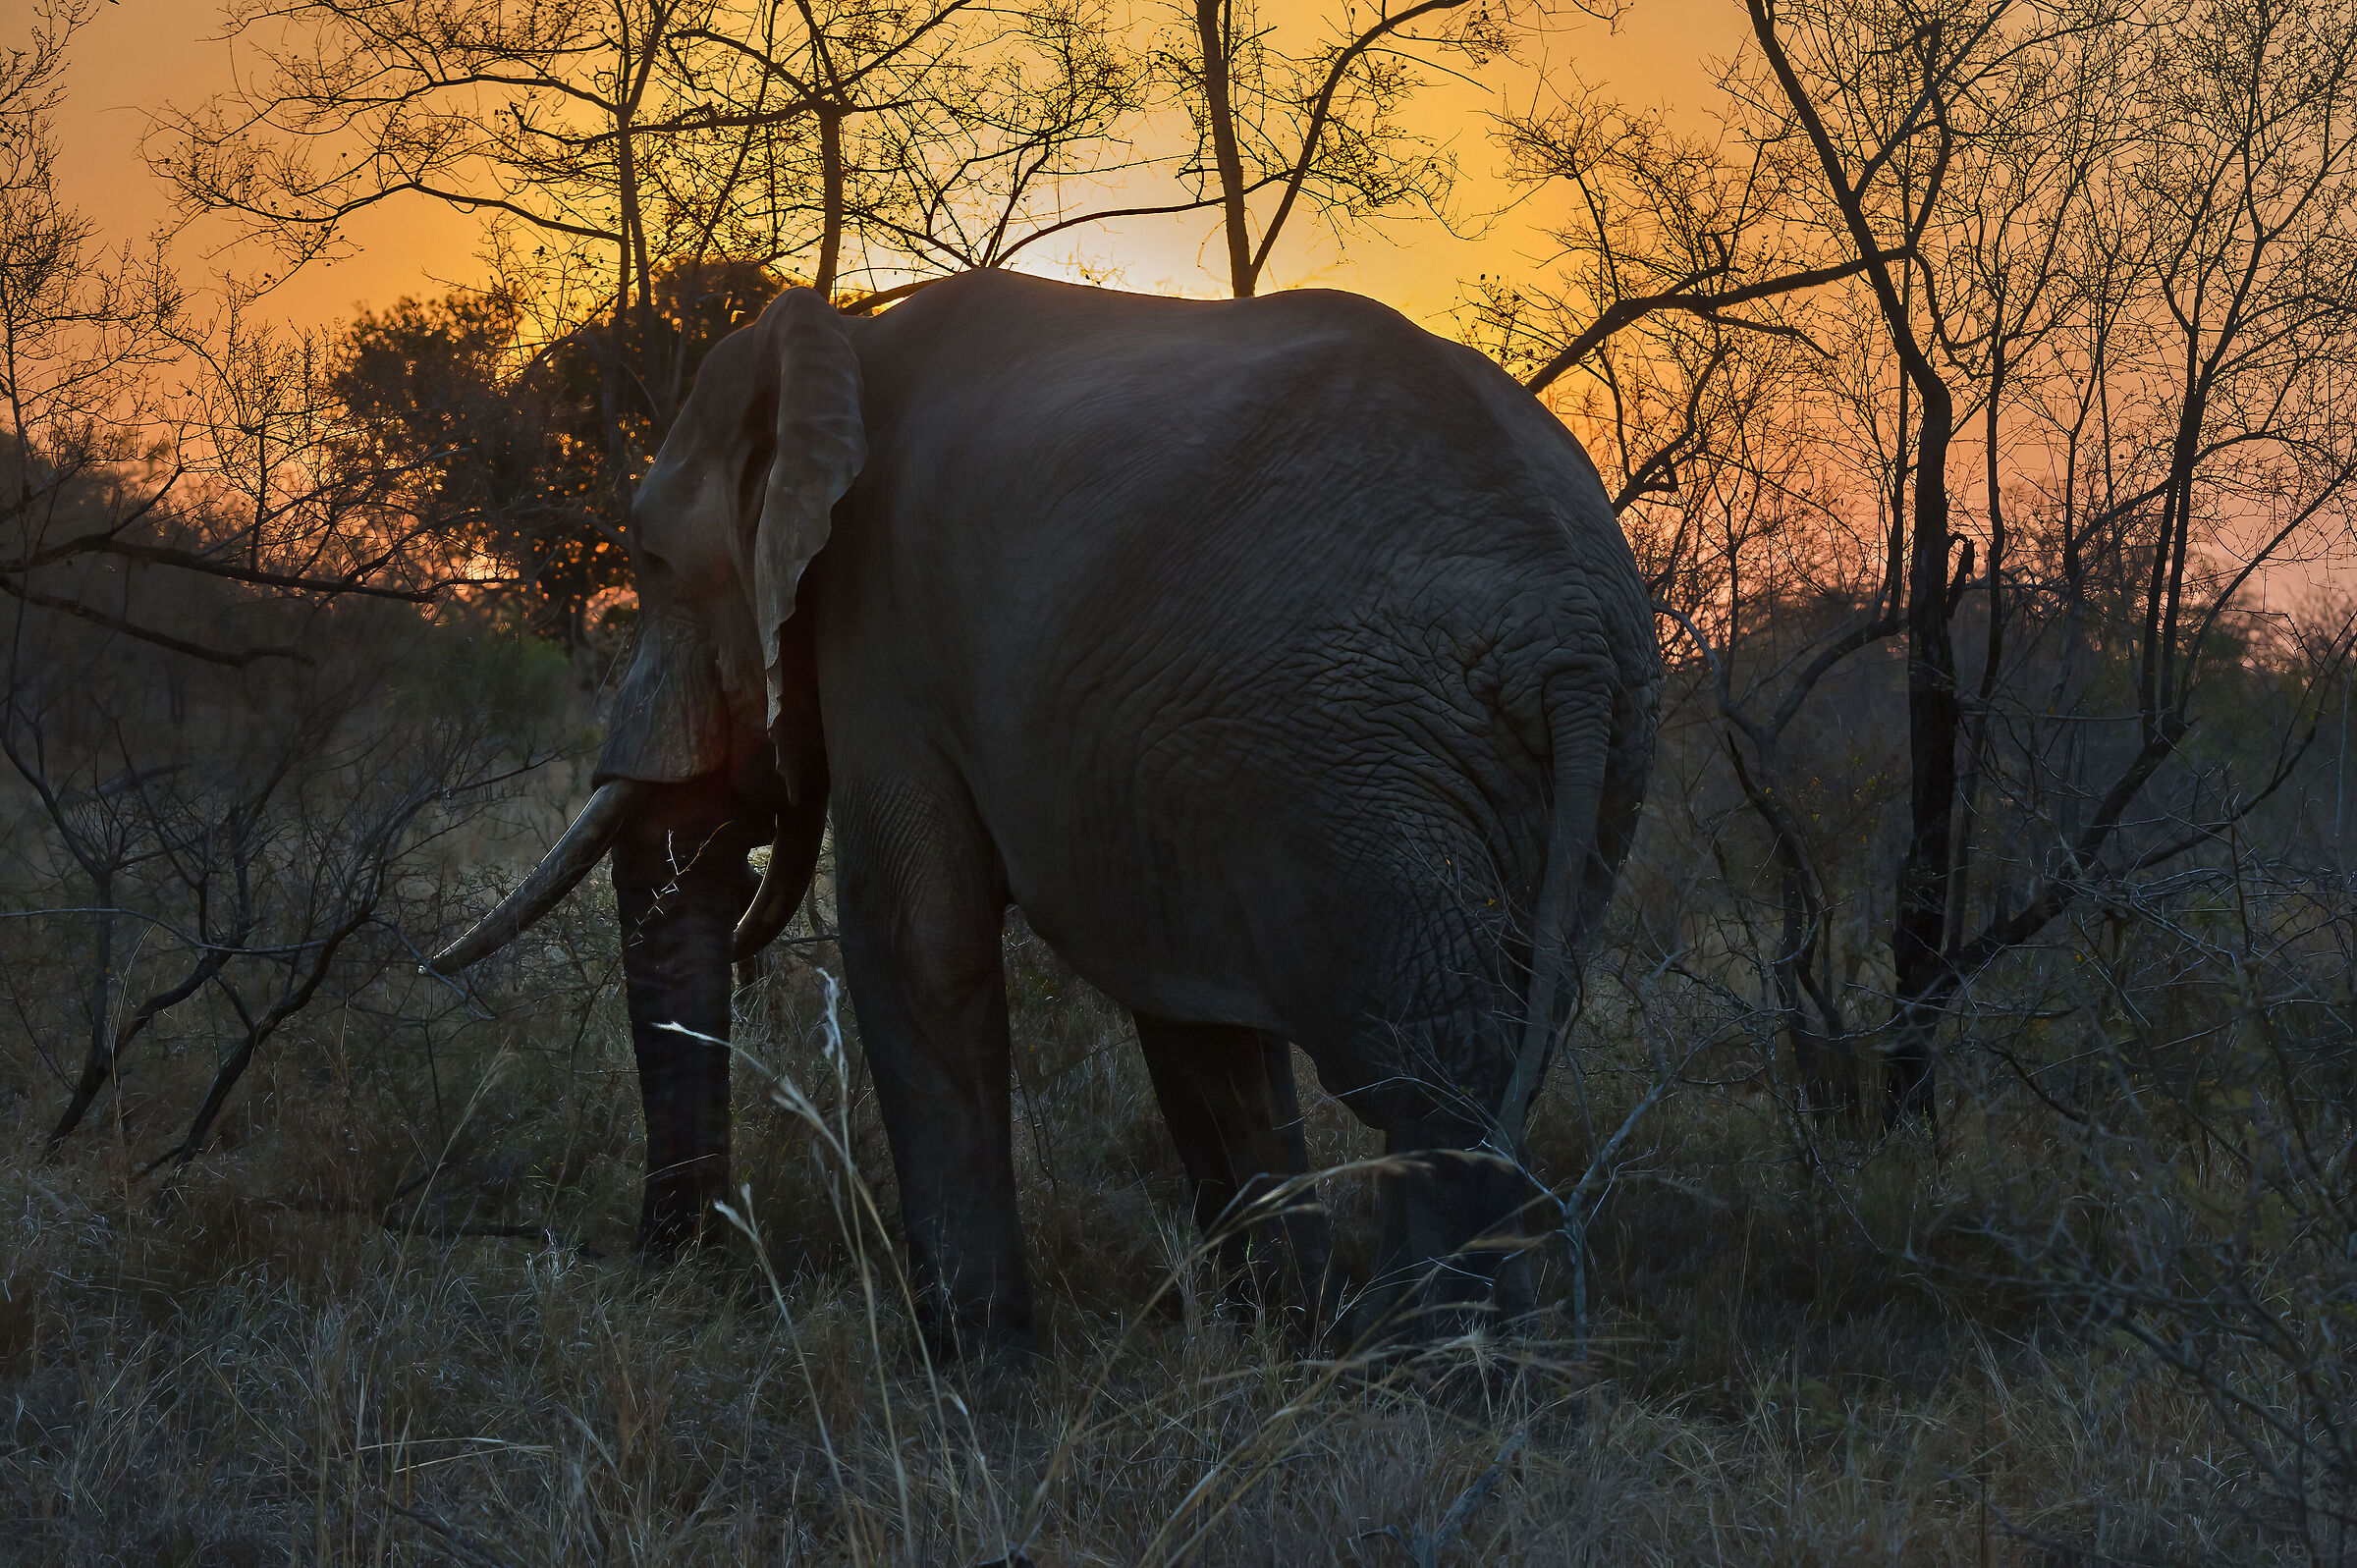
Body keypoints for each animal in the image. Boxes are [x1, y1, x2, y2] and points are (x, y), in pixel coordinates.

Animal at [430, 270, 1660, 1358]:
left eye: (648, 559)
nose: (663, 1265)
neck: (834, 346)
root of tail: (1566, 625)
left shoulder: (889, 630)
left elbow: (917, 944)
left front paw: (975, 1372)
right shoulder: (1170, 782)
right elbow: (1200, 1026)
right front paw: (1284, 1345)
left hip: (1368, 745)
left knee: (1433, 1067)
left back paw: (1431, 1385)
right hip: (1554, 761)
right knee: (1506, 1035)